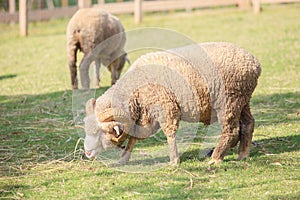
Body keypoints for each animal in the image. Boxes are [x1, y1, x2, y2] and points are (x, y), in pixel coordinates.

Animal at [83, 41, 262, 165]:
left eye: (101, 131)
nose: (87, 152)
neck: (134, 88)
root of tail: (254, 63)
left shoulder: (166, 107)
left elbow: (170, 133)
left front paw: (174, 160)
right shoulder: (144, 116)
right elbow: (134, 138)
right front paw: (123, 159)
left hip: (229, 101)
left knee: (231, 129)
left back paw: (216, 158)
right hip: (242, 99)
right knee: (248, 123)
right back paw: (243, 154)